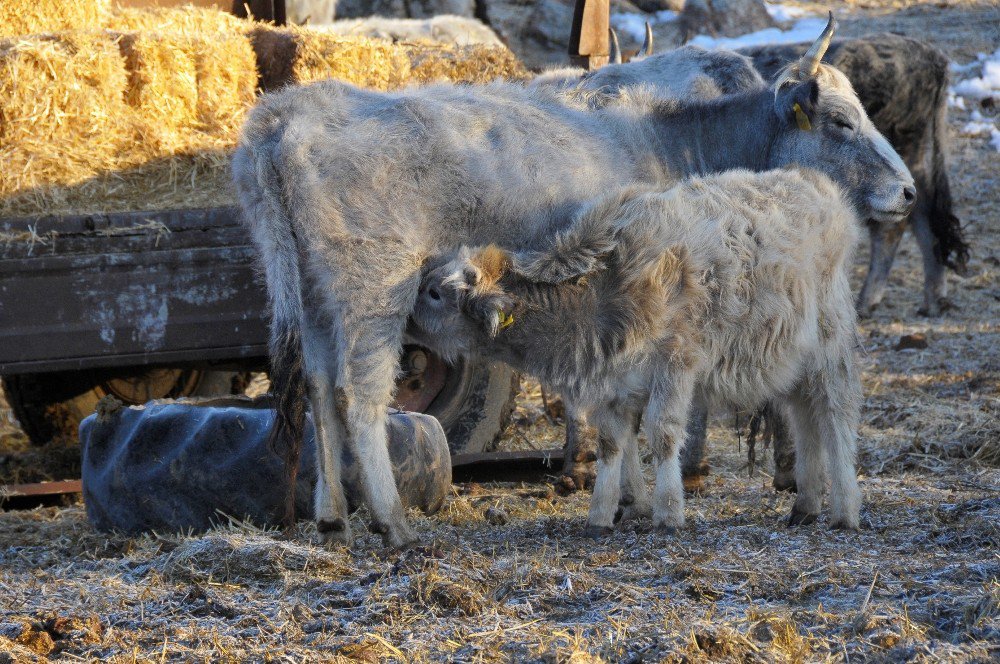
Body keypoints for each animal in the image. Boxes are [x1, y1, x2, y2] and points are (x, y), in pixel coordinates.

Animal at [410, 170, 864, 536]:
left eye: (434, 293)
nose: (407, 312)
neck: (600, 291)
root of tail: (816, 184)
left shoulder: (675, 365)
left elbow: (662, 433)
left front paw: (668, 512)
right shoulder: (612, 383)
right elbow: (613, 443)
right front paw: (601, 515)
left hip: (831, 349)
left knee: (836, 417)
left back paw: (846, 510)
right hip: (791, 364)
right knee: (805, 421)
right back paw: (806, 505)